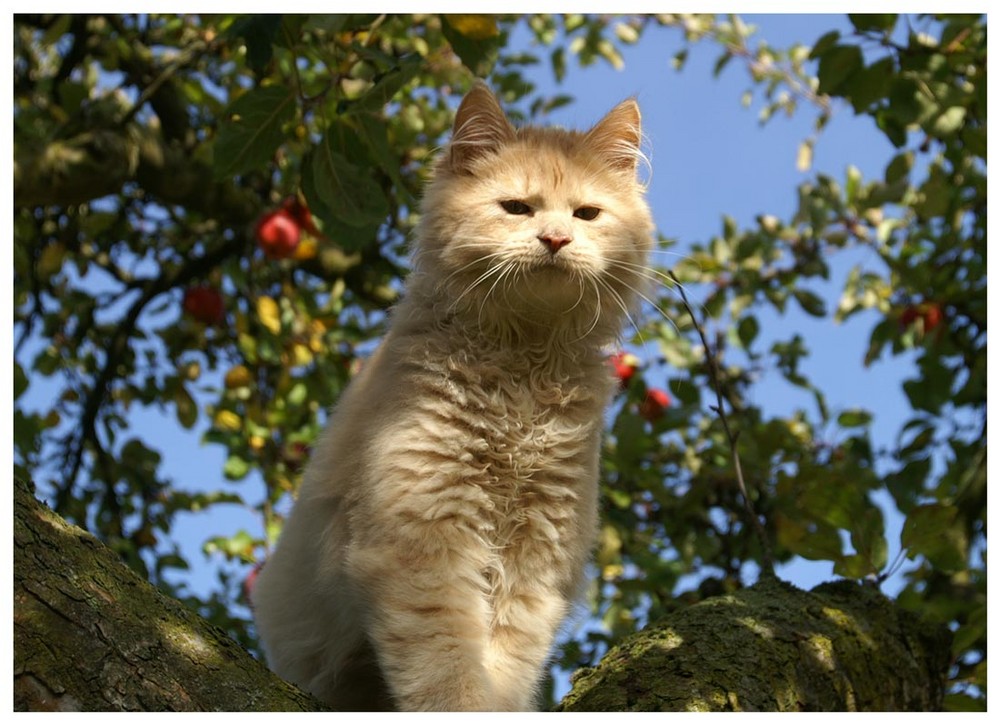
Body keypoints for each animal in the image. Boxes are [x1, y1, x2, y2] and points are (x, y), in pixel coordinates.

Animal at [250, 82, 656, 708]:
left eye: (586, 215)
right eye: (517, 209)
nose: (556, 238)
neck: (520, 375)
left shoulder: (535, 563)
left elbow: (505, 668)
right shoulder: (423, 539)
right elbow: (448, 671)